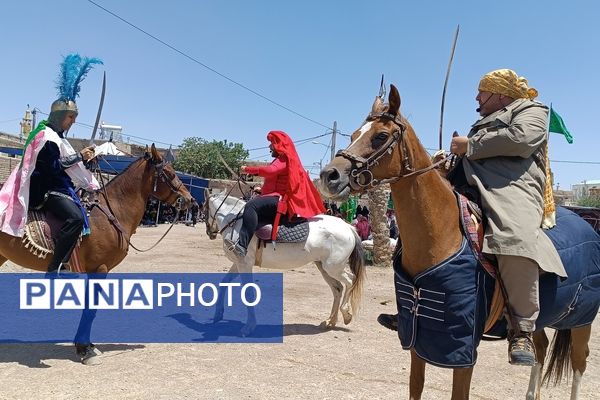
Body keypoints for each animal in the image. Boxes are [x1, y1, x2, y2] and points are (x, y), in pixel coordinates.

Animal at [0, 143, 191, 362]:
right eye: (170, 173)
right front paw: (85, 349)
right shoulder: (99, 269)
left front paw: (85, 345)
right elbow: (91, 309)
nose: (190, 199)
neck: (112, 212)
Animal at [318, 83, 600, 398]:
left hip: (582, 320)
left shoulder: (462, 349)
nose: (329, 175)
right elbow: (416, 387)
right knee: (540, 350)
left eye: (379, 136)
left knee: (578, 363)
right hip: (543, 319)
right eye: (354, 134)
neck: (441, 237)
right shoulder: (418, 336)